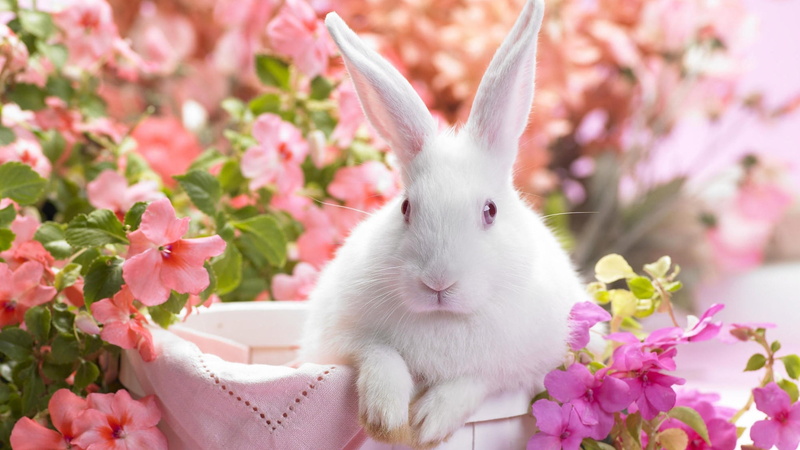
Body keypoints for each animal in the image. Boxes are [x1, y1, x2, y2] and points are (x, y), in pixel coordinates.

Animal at [299, 0, 588, 447]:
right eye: (405, 208)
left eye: (490, 210)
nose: (438, 282)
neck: (443, 319)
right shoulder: (338, 338)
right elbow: (378, 354)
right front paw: (386, 418)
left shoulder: (522, 366)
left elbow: (475, 380)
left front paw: (427, 423)